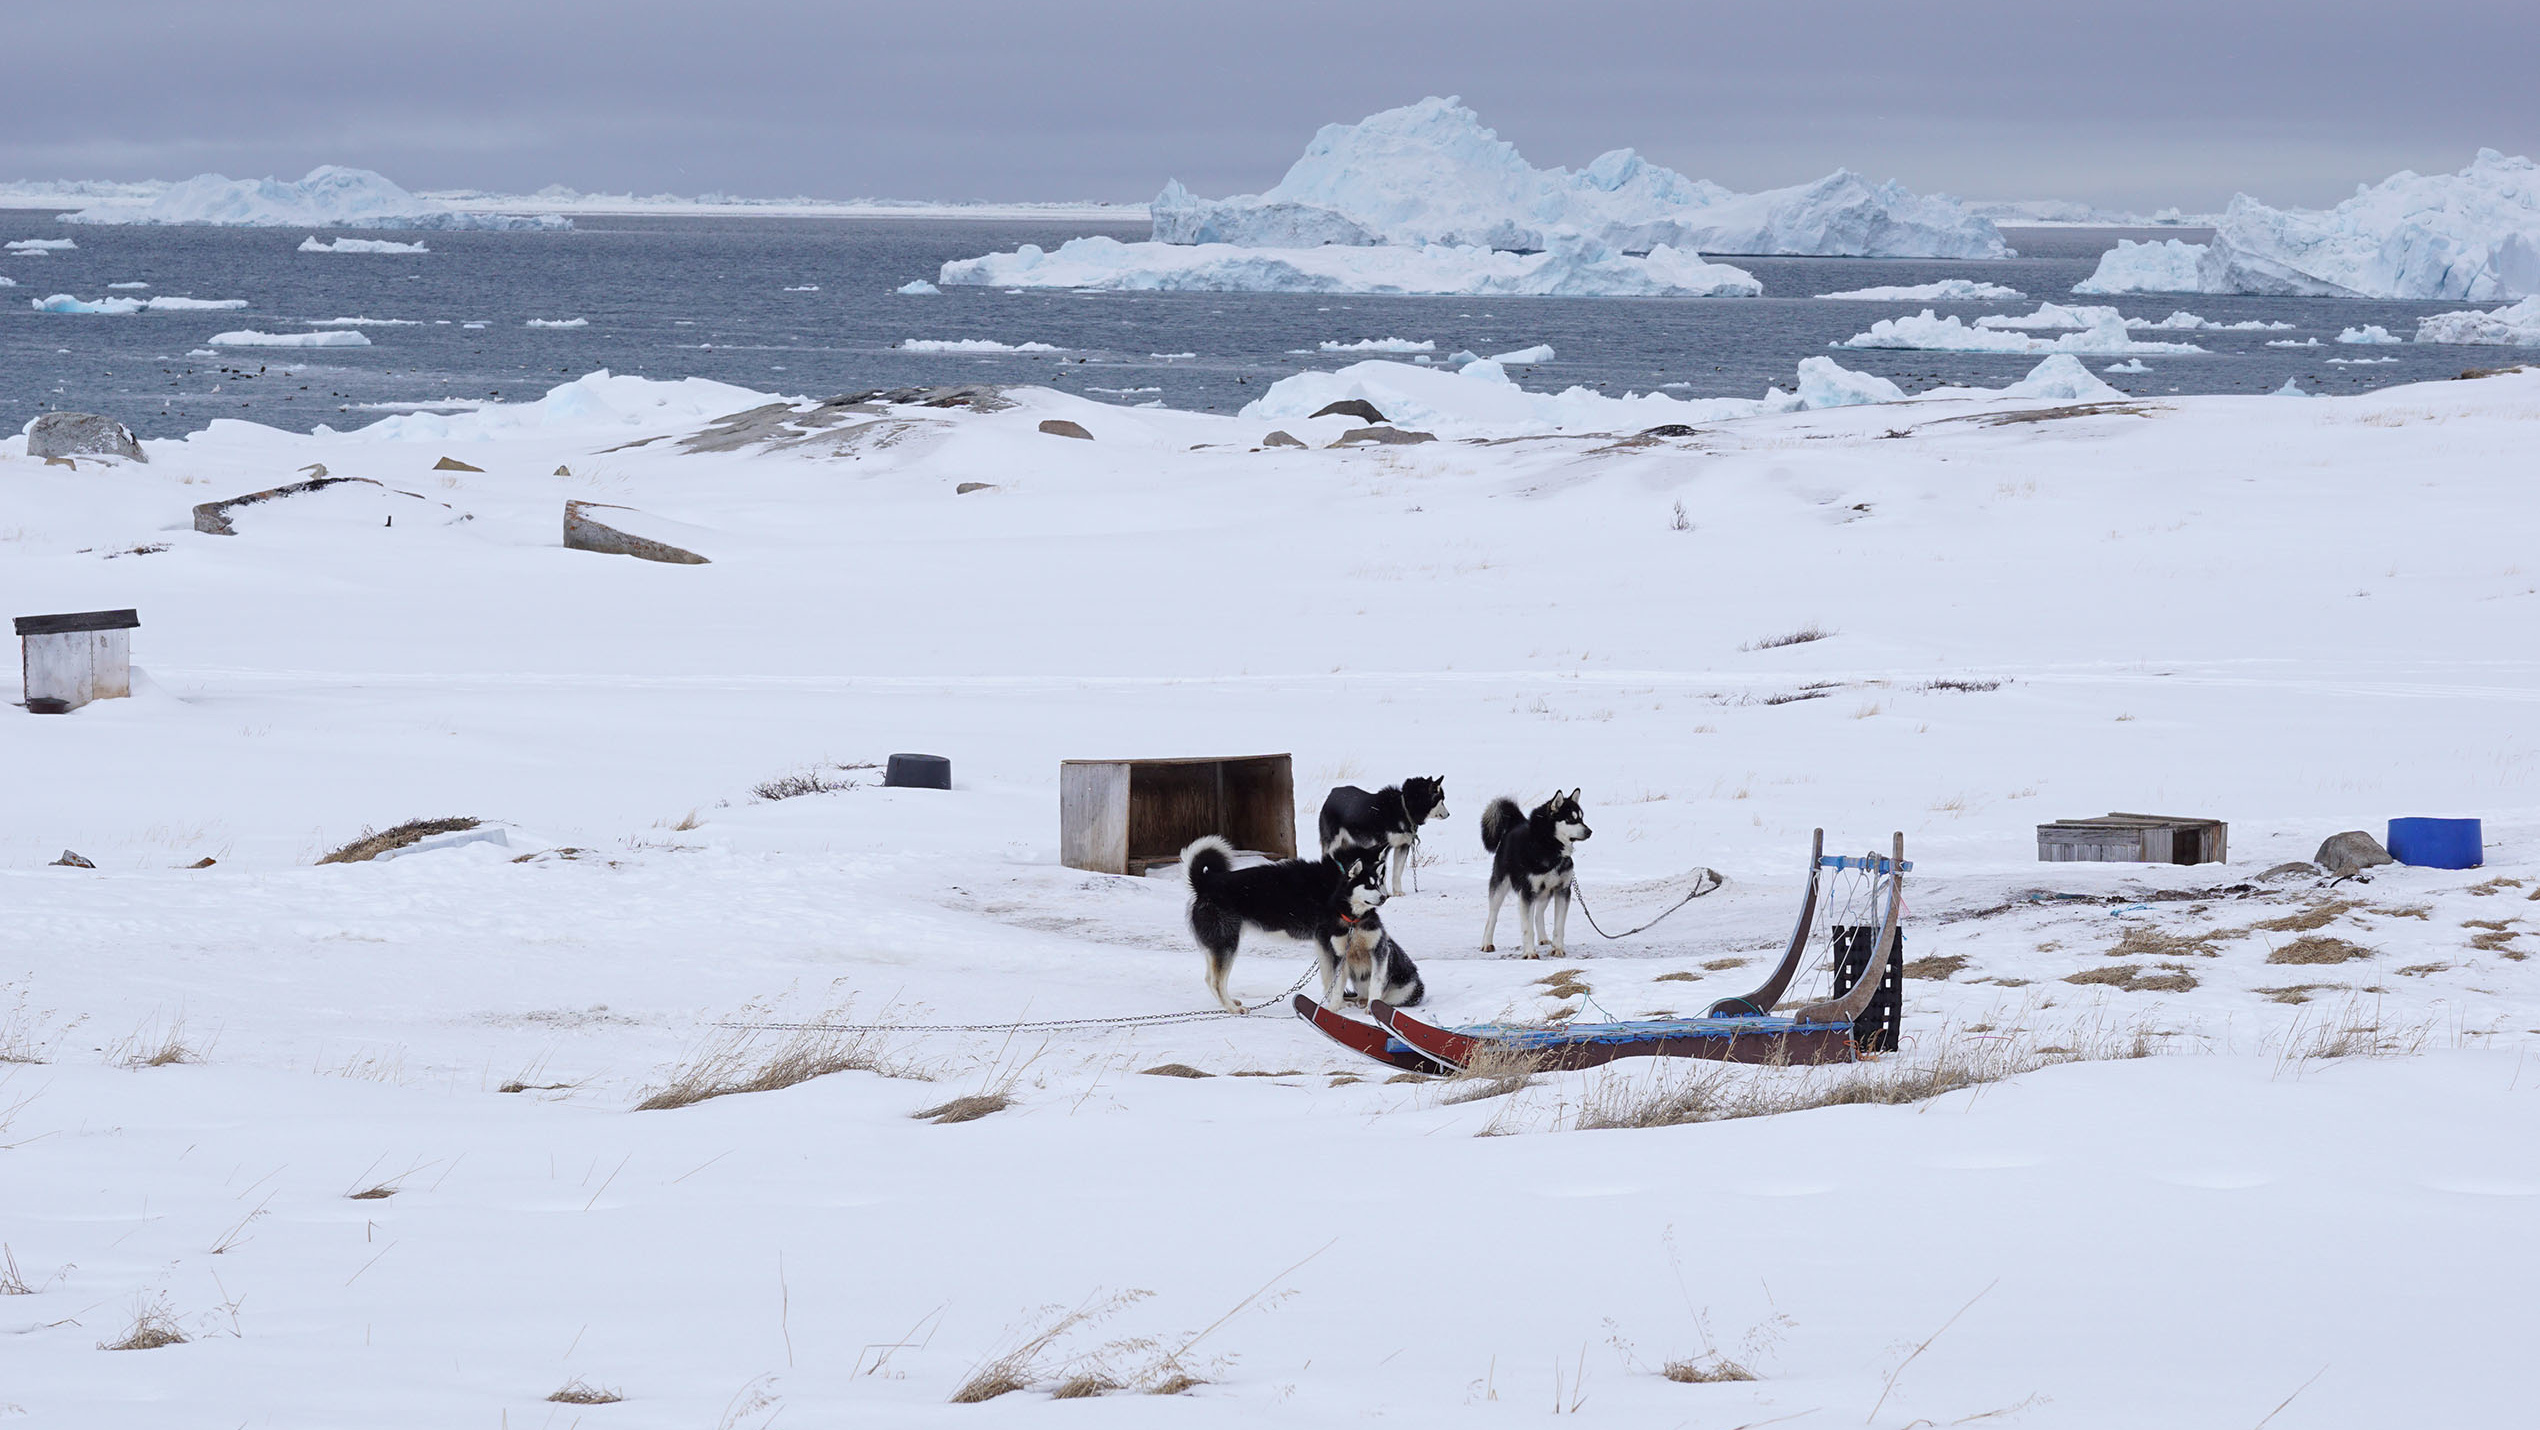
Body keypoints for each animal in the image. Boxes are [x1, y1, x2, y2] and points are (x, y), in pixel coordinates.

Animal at [1178, 838, 1381, 1015]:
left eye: (1379, 880)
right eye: (1371, 884)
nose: (1384, 897)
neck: (1338, 879)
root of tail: (1205, 883)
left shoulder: (1323, 943)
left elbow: (1327, 976)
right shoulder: (1328, 941)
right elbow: (1333, 977)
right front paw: (1336, 1004)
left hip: (1218, 945)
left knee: (1209, 978)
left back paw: (1229, 1003)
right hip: (1227, 945)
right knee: (1216, 982)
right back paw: (1233, 1009)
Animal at [1310, 782, 1452, 894]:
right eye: (1441, 800)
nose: (1449, 814)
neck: (1403, 809)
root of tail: (1333, 793)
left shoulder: (1403, 846)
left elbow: (1397, 872)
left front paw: (1397, 892)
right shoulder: (1384, 847)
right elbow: (1381, 874)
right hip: (1332, 843)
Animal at [1473, 792, 1584, 960]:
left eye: (1582, 818)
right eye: (1571, 819)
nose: (1589, 831)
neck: (1550, 849)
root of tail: (1516, 823)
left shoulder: (1562, 890)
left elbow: (1559, 926)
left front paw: (1557, 949)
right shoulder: (1527, 892)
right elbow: (1527, 928)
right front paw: (1530, 953)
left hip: (1546, 892)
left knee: (1538, 914)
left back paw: (1543, 938)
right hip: (1500, 887)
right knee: (1492, 916)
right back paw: (1487, 943)